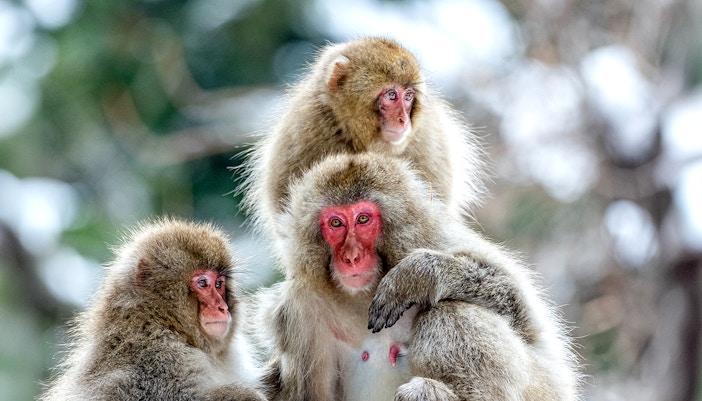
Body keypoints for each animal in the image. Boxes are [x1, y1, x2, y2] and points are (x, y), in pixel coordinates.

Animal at [246, 153, 581, 401]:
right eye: (336, 223)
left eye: (363, 219)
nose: (351, 256)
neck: (362, 296)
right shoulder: (299, 310)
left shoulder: (438, 239)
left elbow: (524, 316)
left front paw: (415, 277)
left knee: (450, 311)